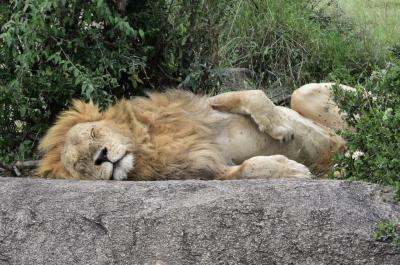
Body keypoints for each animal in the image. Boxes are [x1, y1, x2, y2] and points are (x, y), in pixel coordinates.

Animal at [36, 83, 350, 180]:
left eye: (93, 134)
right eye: (81, 166)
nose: (101, 157)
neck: (148, 143)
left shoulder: (203, 107)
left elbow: (251, 95)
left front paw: (280, 128)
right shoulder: (204, 167)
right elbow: (248, 169)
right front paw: (292, 169)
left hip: (303, 93)